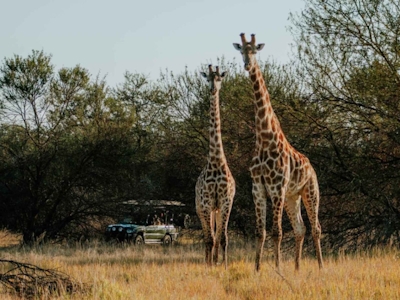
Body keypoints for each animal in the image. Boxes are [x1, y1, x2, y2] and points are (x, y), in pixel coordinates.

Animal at [233, 33, 324, 272]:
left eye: (255, 50)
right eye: (241, 51)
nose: (247, 65)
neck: (265, 138)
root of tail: (312, 168)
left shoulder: (276, 188)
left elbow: (277, 232)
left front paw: (277, 267)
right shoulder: (258, 188)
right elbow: (260, 231)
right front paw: (257, 269)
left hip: (310, 191)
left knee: (316, 227)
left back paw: (320, 266)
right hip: (293, 196)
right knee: (301, 228)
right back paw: (298, 268)